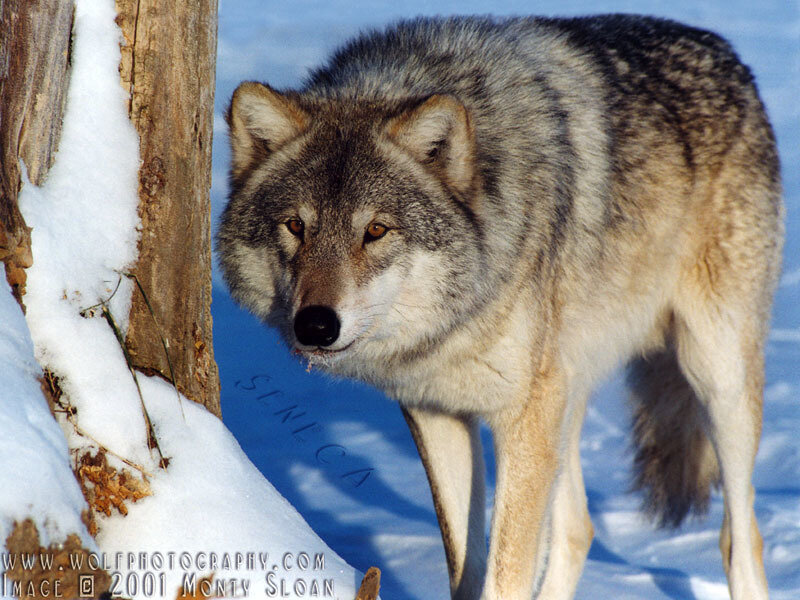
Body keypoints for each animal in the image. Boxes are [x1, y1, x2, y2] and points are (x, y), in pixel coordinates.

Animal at [217, 14, 783, 600]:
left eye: (375, 231)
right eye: (295, 226)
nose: (315, 325)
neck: (462, 317)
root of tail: (723, 48)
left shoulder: (521, 418)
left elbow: (505, 574)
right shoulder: (438, 412)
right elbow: (465, 567)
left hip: (714, 376)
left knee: (740, 538)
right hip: (566, 397)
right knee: (578, 529)